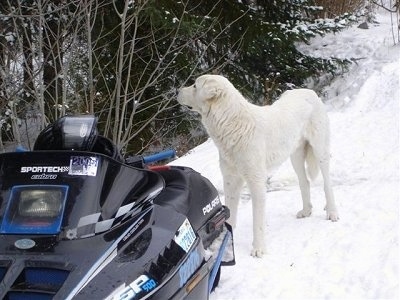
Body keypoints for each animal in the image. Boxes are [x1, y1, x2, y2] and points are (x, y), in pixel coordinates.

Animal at [178, 74, 338, 256]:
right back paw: (306, 211)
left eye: (194, 86)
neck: (232, 125)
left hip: (320, 151)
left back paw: (332, 212)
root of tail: (309, 91)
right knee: (305, 182)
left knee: (327, 183)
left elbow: (258, 222)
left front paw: (258, 249)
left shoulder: (256, 182)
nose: (177, 91)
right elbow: (230, 214)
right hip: (295, 156)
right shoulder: (230, 180)